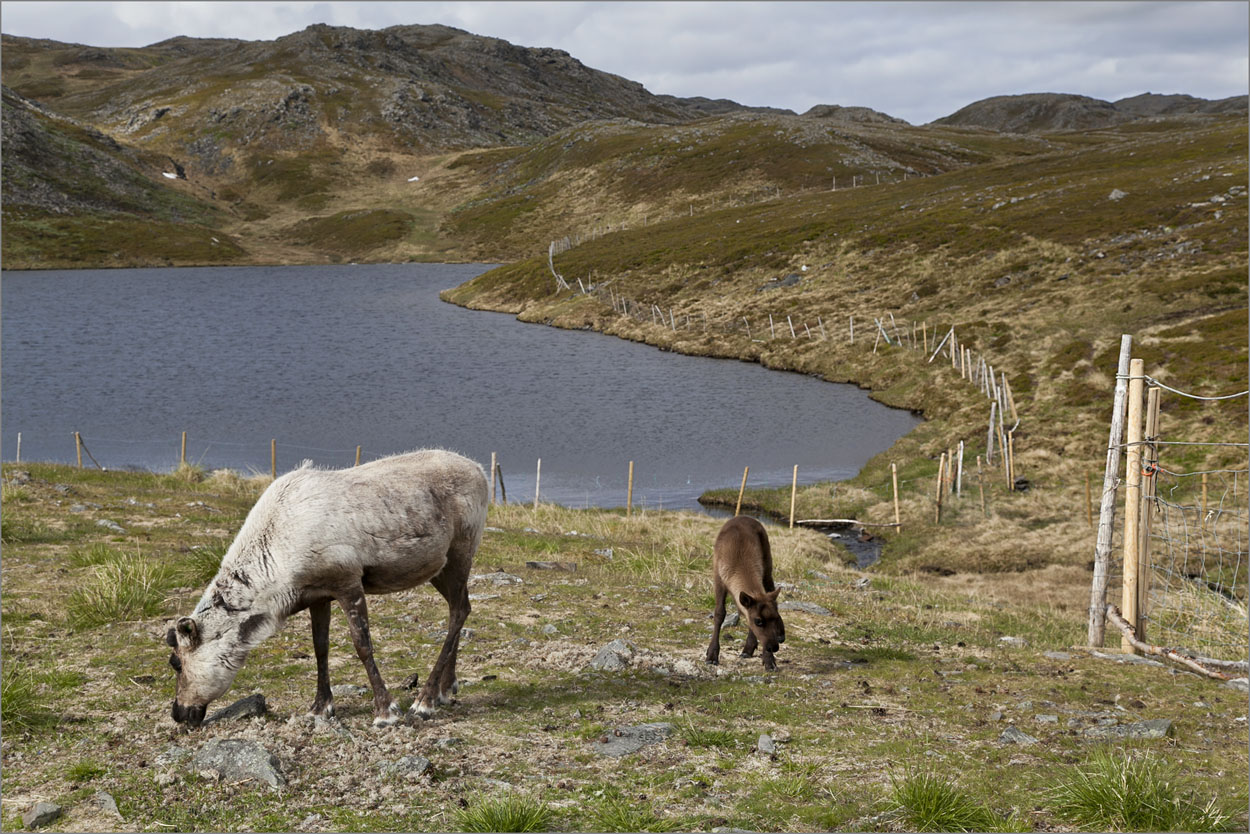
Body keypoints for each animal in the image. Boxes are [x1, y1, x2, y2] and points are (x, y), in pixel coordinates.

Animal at [710, 515, 785, 670]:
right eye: (758, 621)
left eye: (775, 617)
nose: (774, 647)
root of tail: (744, 516)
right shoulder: (718, 579)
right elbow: (719, 613)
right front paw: (712, 656)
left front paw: (769, 660)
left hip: (768, 562)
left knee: (771, 588)